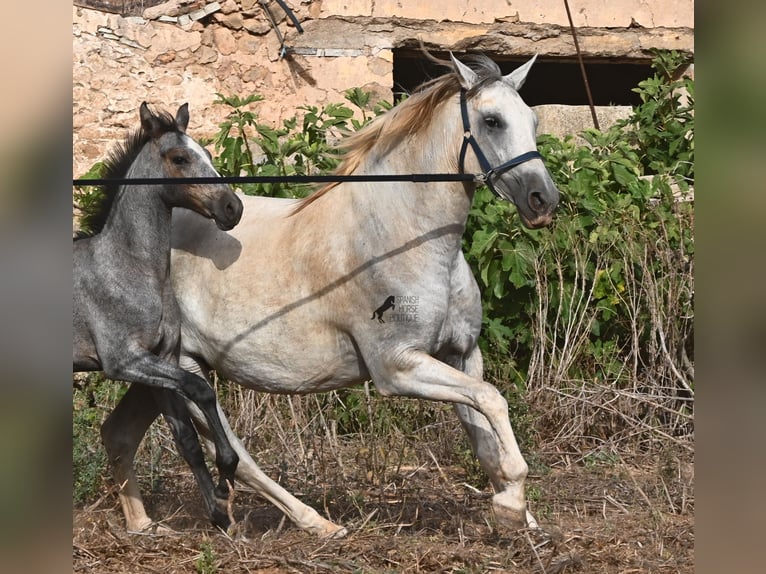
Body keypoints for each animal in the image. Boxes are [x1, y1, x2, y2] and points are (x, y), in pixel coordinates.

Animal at [73, 102, 244, 532]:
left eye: (209, 153)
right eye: (179, 158)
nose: (232, 208)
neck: (129, 268)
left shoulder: (162, 358)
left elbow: (186, 439)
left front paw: (219, 513)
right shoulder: (124, 361)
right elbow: (201, 389)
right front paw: (227, 471)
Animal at [108, 52, 560, 537]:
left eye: (533, 119)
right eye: (492, 121)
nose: (543, 200)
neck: (402, 238)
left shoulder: (462, 354)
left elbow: (485, 435)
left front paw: (520, 516)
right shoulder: (398, 367)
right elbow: (494, 400)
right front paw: (513, 503)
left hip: (154, 373)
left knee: (117, 433)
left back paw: (142, 524)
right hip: (185, 368)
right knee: (234, 455)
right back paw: (318, 524)